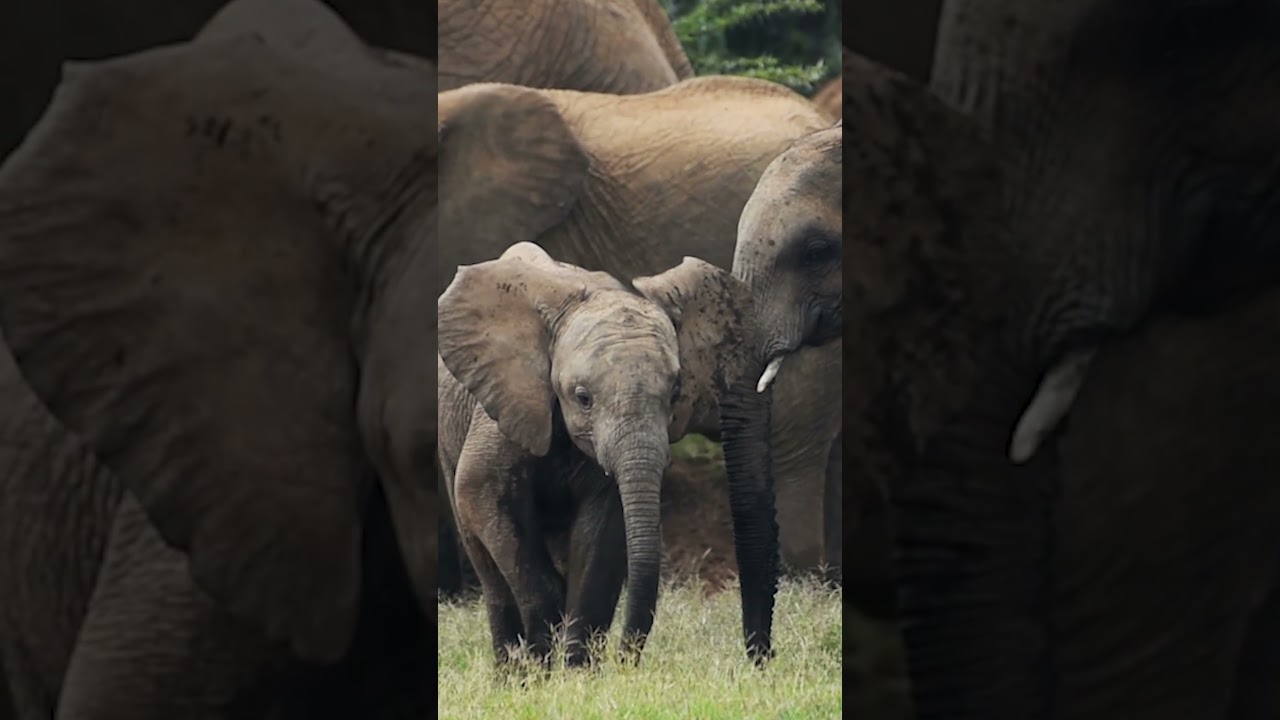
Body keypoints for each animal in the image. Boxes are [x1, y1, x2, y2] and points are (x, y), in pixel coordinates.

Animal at [437, 242, 755, 666]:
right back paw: (514, 671)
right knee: (488, 567)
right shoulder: (506, 407)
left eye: (675, 394)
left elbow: (600, 542)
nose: (626, 658)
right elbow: (481, 494)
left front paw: (576, 673)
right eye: (583, 398)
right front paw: (543, 667)